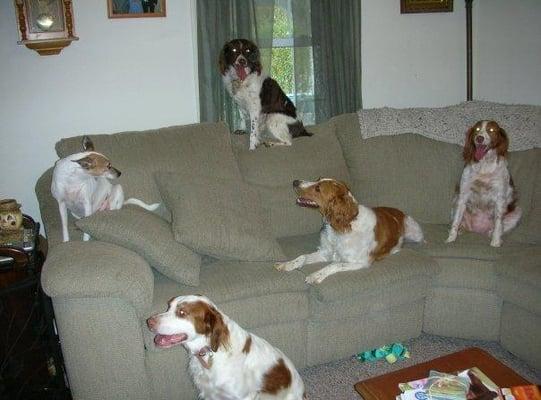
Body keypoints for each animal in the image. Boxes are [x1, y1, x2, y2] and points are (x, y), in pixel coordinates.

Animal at [274, 178, 422, 284]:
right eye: (317, 179)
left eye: (318, 188)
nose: (295, 181)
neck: (341, 228)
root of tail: (399, 212)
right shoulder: (326, 252)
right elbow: (303, 257)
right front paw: (287, 264)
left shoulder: (360, 262)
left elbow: (334, 265)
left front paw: (316, 275)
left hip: (416, 234)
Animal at [446, 119, 520, 247]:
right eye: (477, 129)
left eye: (491, 130)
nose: (479, 138)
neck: (484, 166)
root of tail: (478, 230)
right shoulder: (463, 195)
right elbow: (455, 222)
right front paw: (450, 239)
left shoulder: (500, 198)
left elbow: (498, 223)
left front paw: (495, 243)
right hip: (455, 203)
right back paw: (460, 230)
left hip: (517, 213)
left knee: (497, 228)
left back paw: (495, 236)